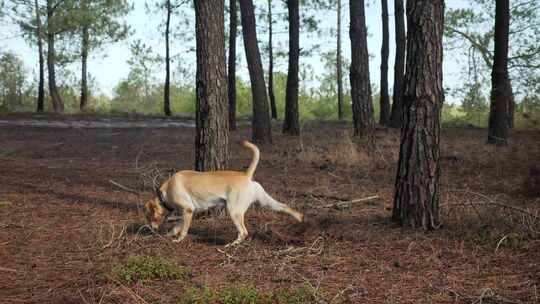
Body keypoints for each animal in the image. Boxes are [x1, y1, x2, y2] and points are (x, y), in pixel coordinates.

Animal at [143, 140, 304, 247]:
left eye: (149, 217)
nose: (152, 231)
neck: (164, 193)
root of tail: (246, 175)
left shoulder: (188, 210)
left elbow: (183, 229)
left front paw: (178, 239)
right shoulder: (188, 212)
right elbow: (178, 225)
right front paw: (170, 234)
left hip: (234, 211)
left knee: (244, 232)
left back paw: (232, 245)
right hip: (266, 202)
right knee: (285, 207)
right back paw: (300, 217)